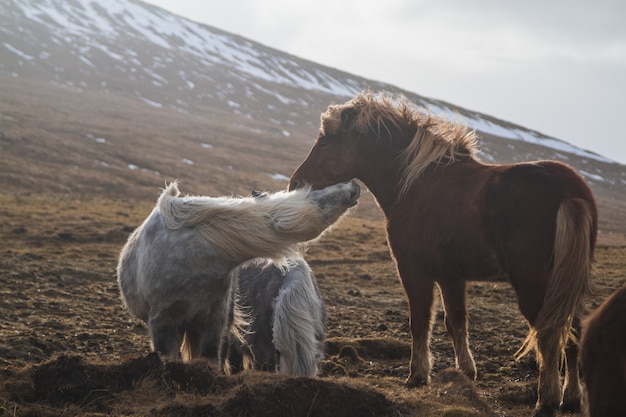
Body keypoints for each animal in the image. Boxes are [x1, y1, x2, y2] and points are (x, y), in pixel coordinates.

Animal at [115, 179, 358, 368]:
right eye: (317, 196)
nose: (354, 185)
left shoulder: (214, 322)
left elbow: (210, 357)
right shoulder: (162, 324)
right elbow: (168, 357)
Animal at [288, 92, 596, 416]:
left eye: (325, 142)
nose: (296, 183)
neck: (416, 184)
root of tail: (571, 191)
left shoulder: (413, 270)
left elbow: (420, 321)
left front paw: (417, 376)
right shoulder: (451, 276)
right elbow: (456, 321)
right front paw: (466, 372)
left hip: (534, 285)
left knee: (549, 335)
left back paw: (546, 401)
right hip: (568, 284)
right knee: (573, 332)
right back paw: (571, 398)